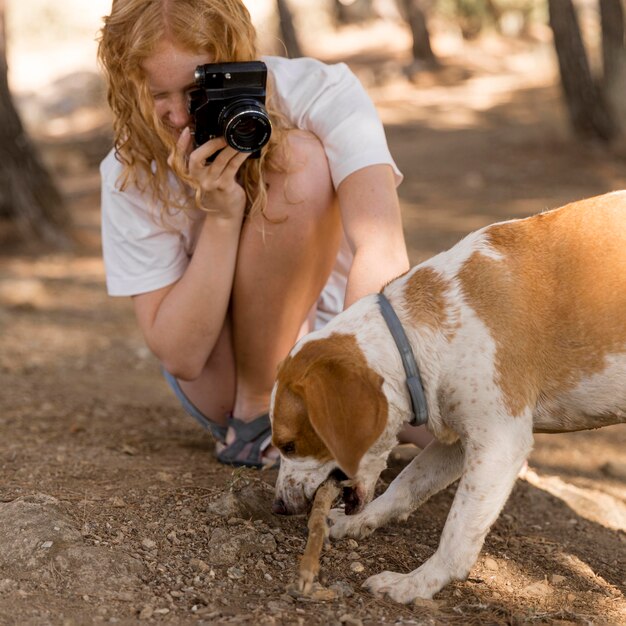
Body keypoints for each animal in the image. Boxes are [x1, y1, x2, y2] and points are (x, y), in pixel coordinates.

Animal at [268, 190, 624, 600]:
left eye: (290, 445)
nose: (278, 506)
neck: (416, 333)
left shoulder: (499, 445)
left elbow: (457, 530)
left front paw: (416, 583)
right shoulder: (457, 440)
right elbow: (407, 483)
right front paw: (363, 522)